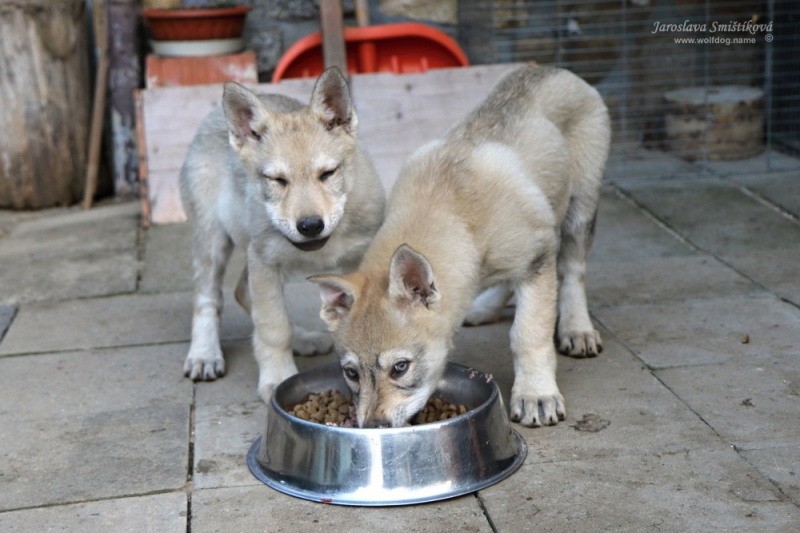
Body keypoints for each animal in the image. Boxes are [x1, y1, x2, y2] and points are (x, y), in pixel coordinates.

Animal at [180, 67, 384, 400]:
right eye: (277, 180)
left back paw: (303, 339)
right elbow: (273, 326)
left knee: (242, 291)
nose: (310, 225)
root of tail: (211, 114)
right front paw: (277, 377)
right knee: (208, 298)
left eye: (327, 174)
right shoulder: (264, 261)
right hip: (213, 239)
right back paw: (204, 355)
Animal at [310, 63, 608, 428]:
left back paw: (577, 328)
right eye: (351, 373)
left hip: (580, 208)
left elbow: (527, 332)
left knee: (573, 270)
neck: (449, 207)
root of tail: (547, 68)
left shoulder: (538, 259)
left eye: (400, 367)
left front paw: (536, 395)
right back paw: (485, 308)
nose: (373, 429)